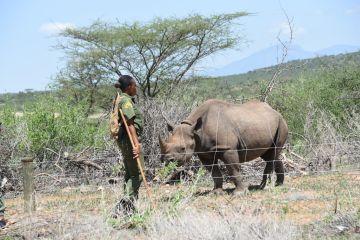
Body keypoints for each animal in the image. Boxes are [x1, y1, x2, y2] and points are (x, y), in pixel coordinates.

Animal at [159, 99, 288, 195]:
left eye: (182, 148)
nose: (167, 160)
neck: (195, 131)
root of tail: (275, 111)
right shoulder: (204, 152)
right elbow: (214, 172)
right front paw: (216, 192)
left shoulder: (228, 149)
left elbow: (233, 169)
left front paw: (239, 193)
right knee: (270, 154)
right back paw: (279, 184)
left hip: (281, 123)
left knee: (273, 153)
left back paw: (262, 186)